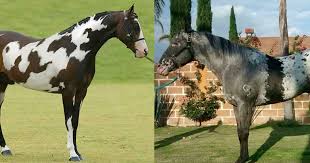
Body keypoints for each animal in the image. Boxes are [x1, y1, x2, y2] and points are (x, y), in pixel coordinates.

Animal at [0, 5, 148, 162]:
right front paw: (72, 154)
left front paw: (78, 153)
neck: (75, 49)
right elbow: (69, 122)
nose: (144, 51)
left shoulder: (82, 91)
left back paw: (5, 149)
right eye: (135, 26)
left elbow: (75, 121)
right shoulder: (68, 91)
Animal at [157, 30, 310, 163]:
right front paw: (243, 157)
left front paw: (243, 159)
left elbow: (244, 132)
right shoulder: (236, 106)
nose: (160, 67)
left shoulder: (245, 104)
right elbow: (239, 132)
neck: (236, 66)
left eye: (176, 43)